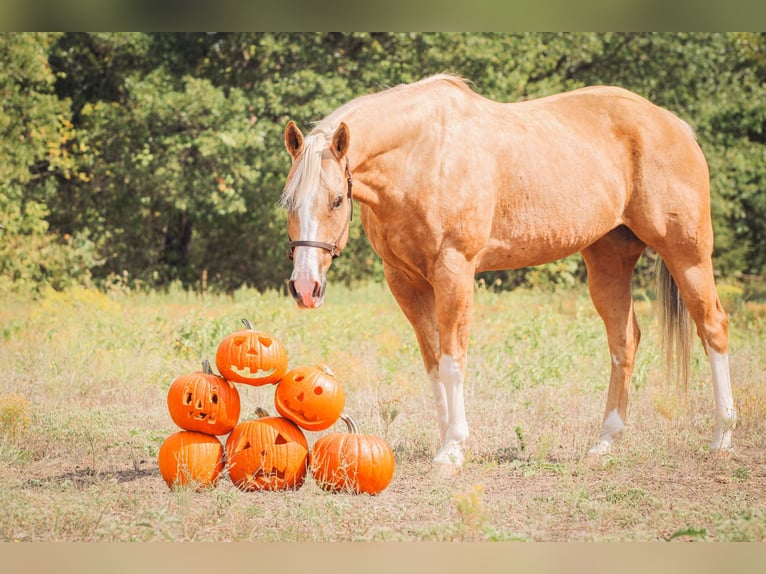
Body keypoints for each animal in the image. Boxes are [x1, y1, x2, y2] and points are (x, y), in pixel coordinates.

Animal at [282, 74, 736, 470]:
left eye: (337, 200)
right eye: (287, 201)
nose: (305, 288)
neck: (424, 154)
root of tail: (672, 123)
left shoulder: (454, 271)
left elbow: (453, 359)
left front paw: (453, 449)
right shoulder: (405, 282)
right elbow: (433, 362)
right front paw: (445, 438)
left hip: (687, 254)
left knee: (712, 326)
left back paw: (722, 437)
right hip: (609, 260)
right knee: (624, 340)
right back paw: (605, 442)